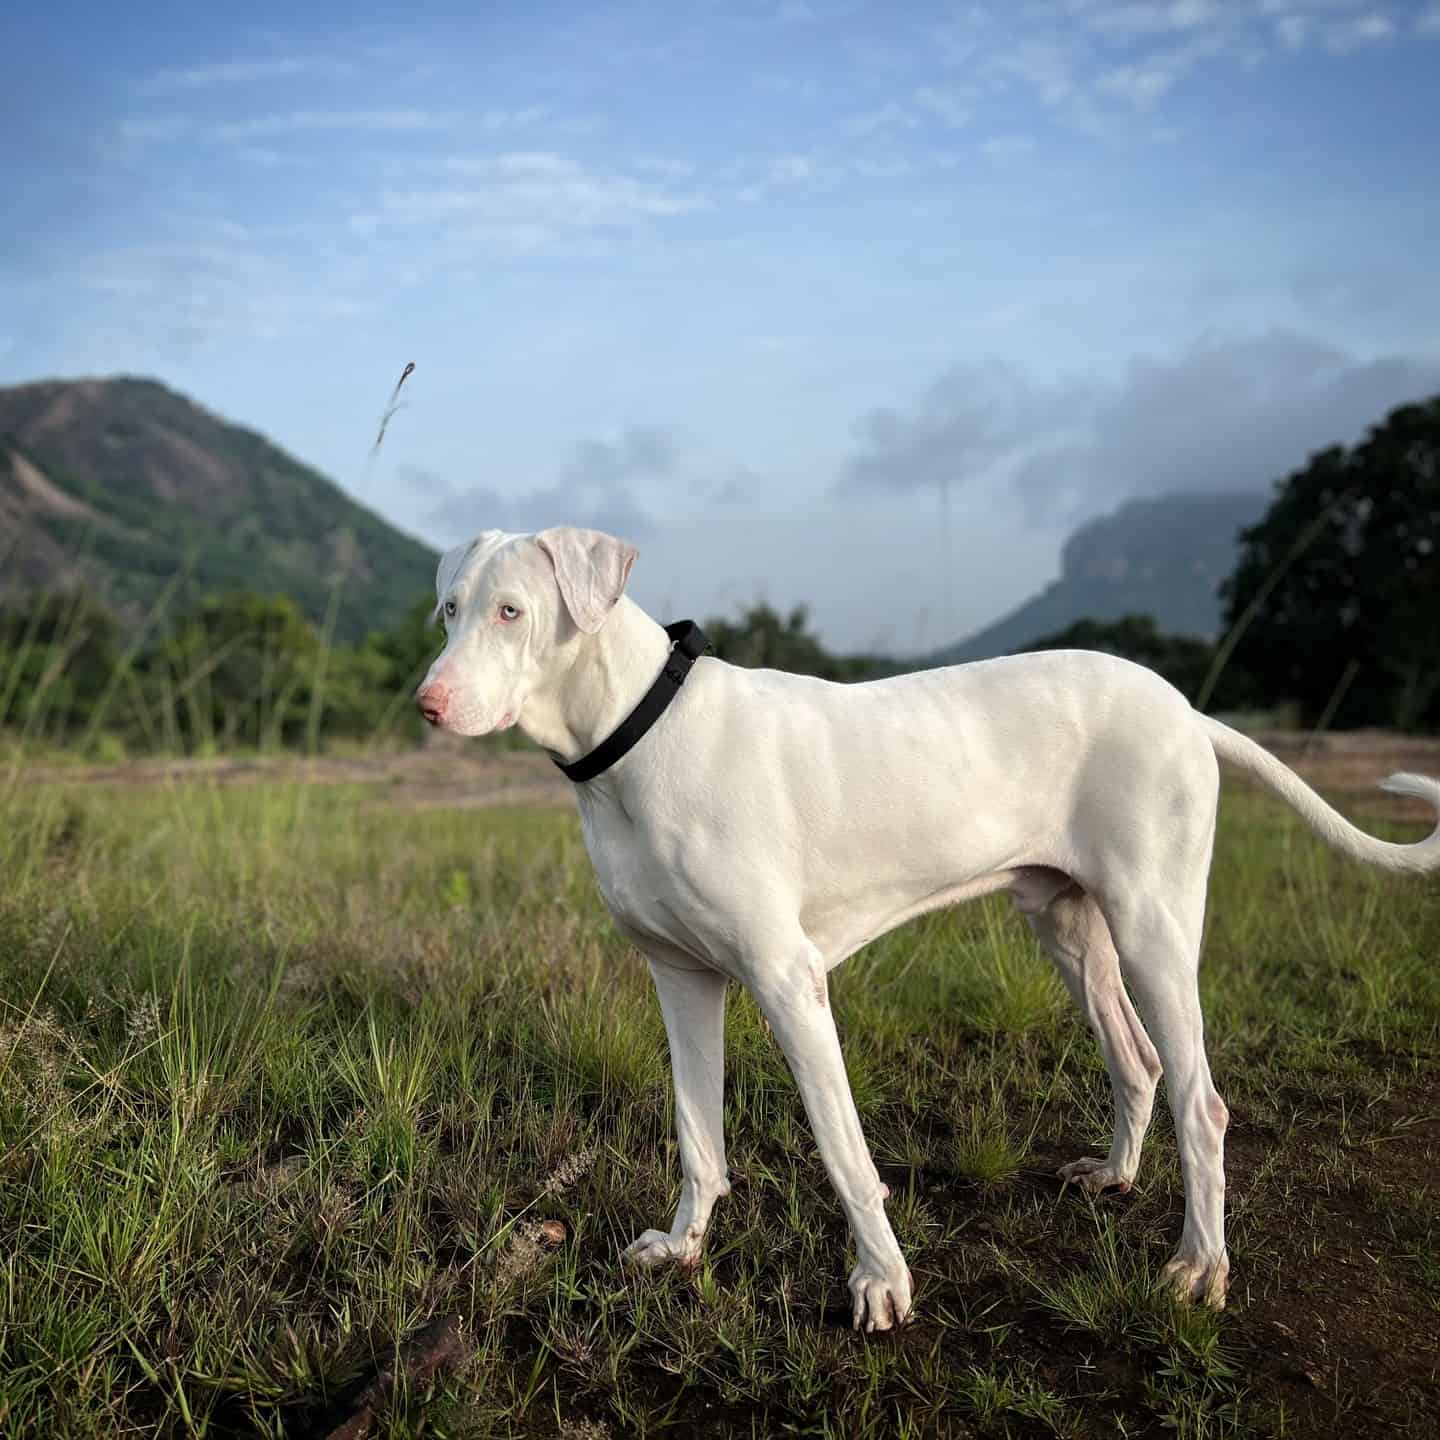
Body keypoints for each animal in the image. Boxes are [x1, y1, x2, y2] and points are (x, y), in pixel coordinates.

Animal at [417, 524, 1440, 1330]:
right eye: (450, 610)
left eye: (511, 612)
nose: (427, 704)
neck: (639, 732)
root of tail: (1188, 709)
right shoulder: (683, 982)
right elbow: (697, 1135)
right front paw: (684, 1247)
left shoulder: (789, 983)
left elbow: (844, 1151)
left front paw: (882, 1282)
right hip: (1070, 930)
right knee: (1139, 1060)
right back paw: (1114, 1176)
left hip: (1153, 930)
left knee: (1203, 1101)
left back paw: (1200, 1267)